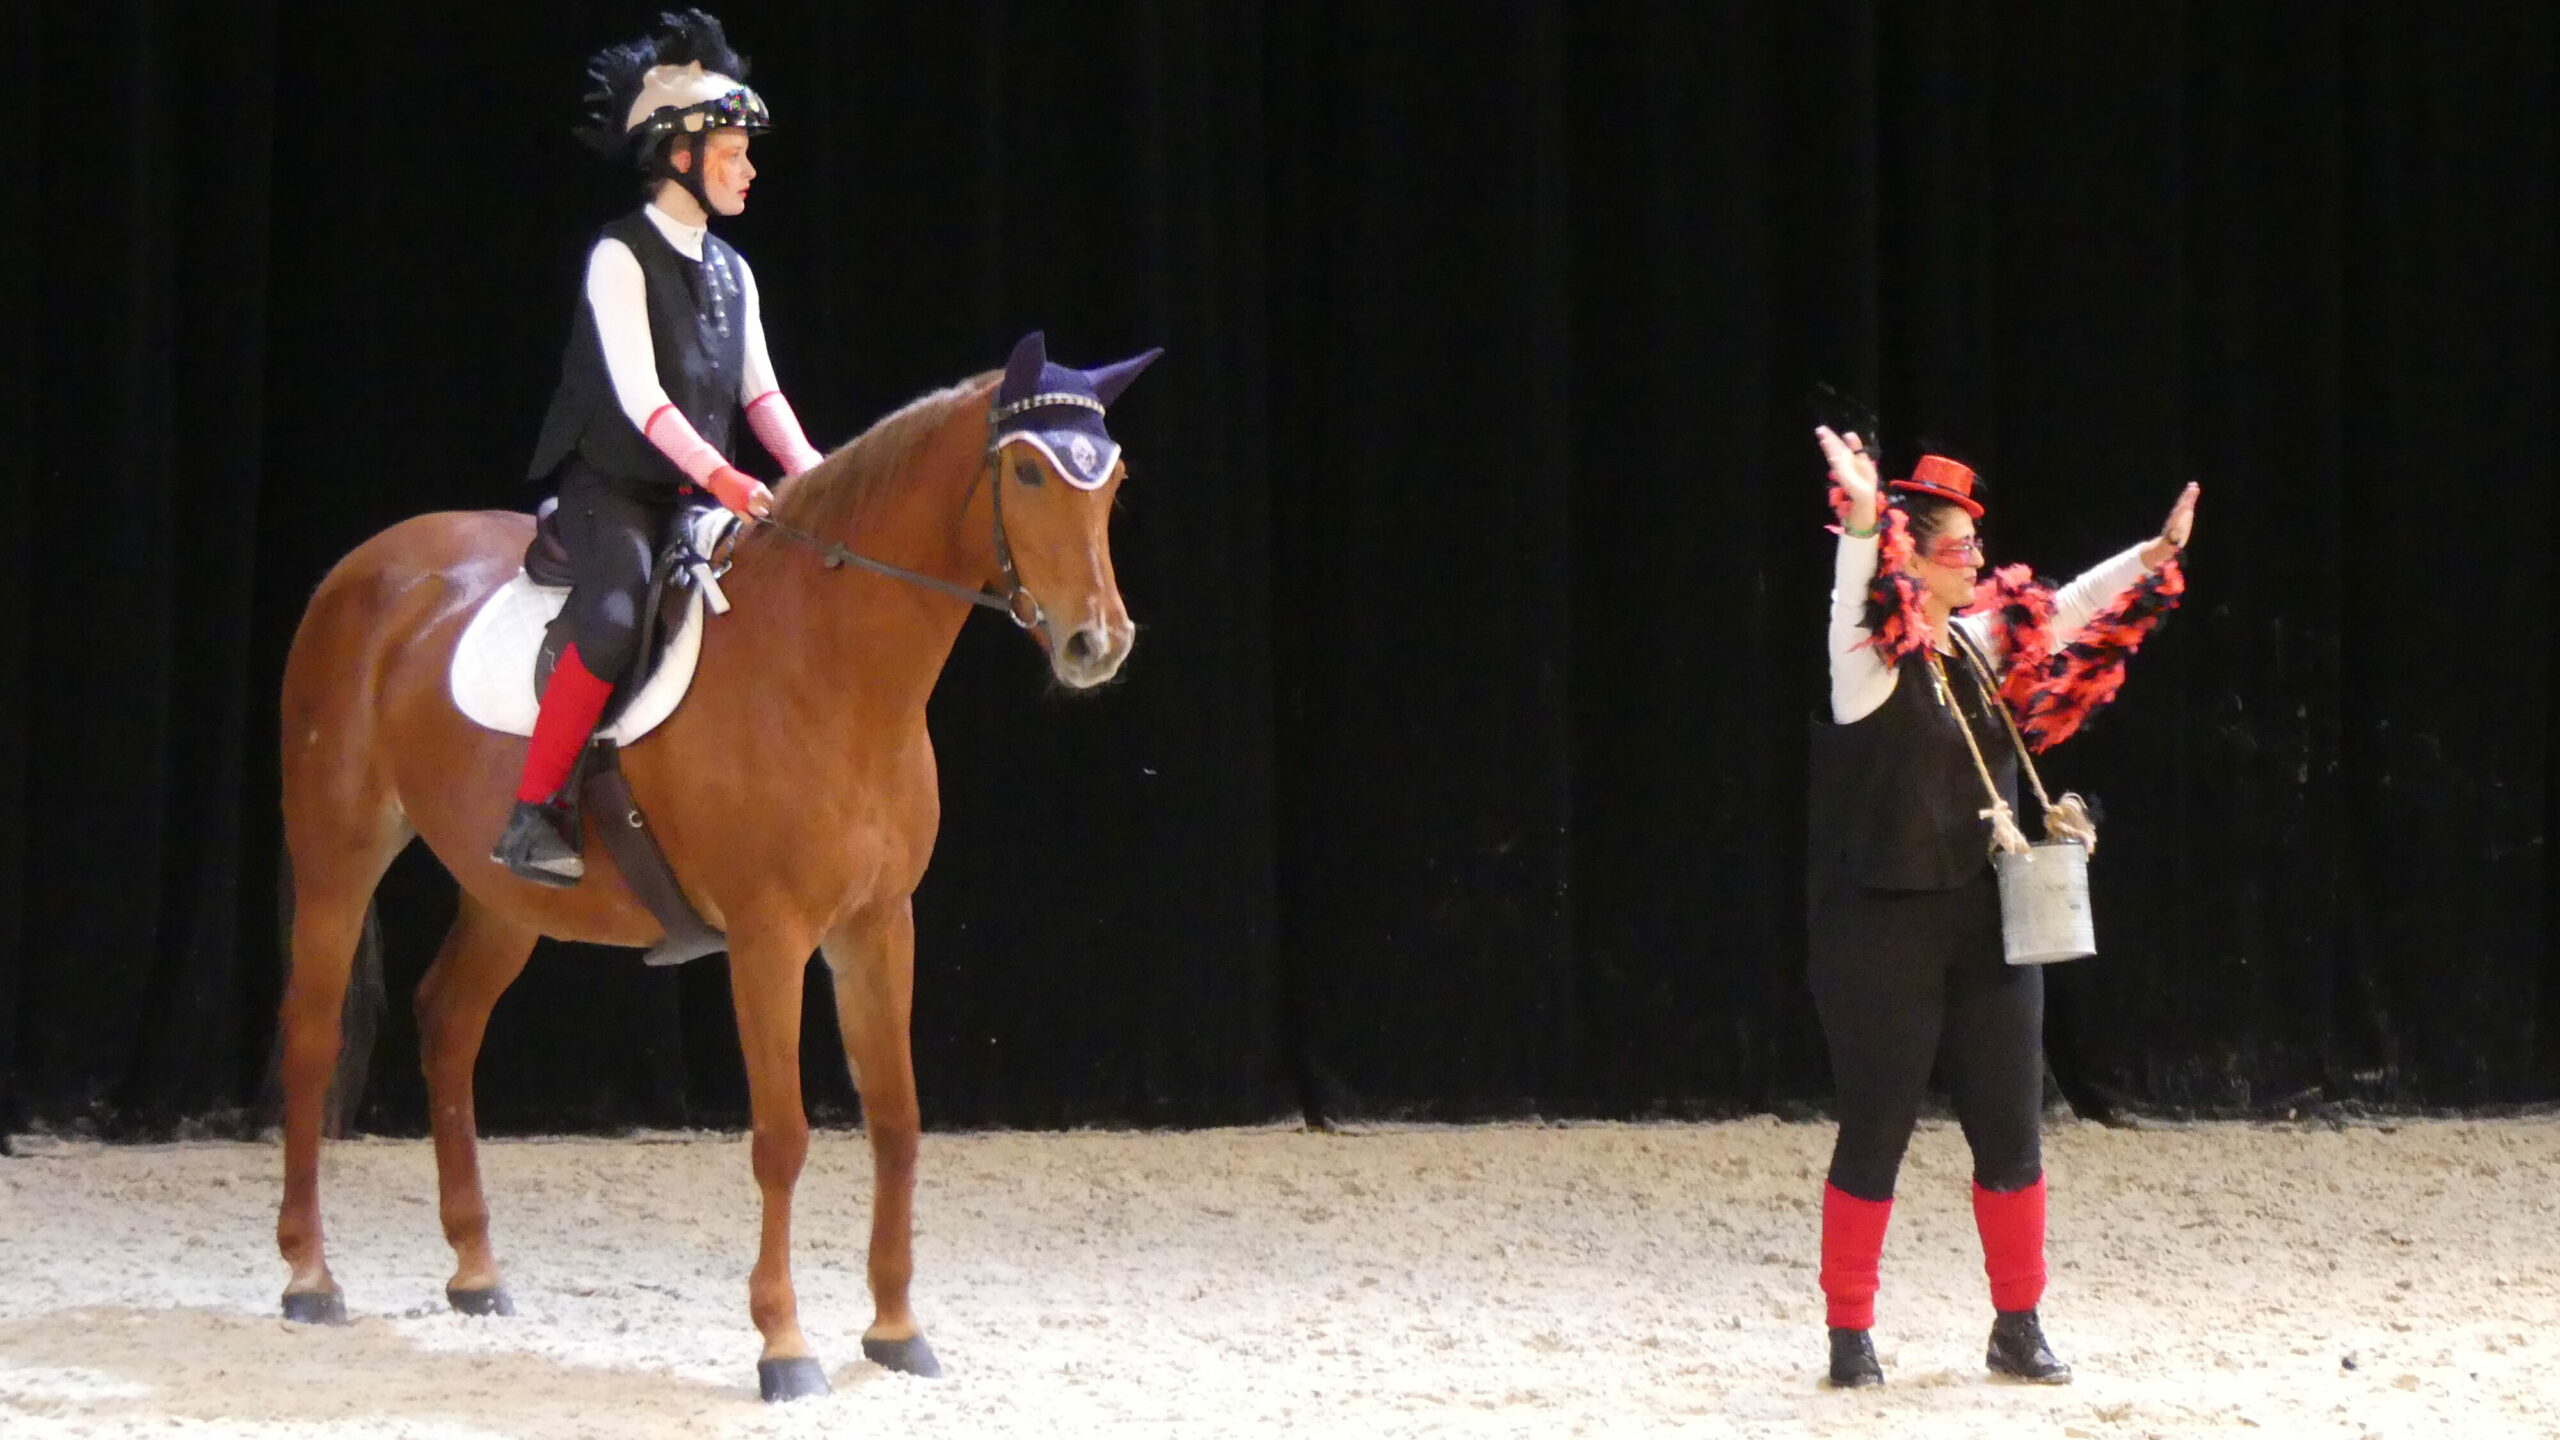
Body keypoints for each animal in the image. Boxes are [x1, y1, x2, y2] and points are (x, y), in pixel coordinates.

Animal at [275, 356, 1136, 1393]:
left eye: (1114, 483)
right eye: (1029, 473)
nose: (1098, 643)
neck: (829, 666)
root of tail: (364, 568)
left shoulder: (879, 927)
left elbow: (895, 1120)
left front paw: (895, 1331)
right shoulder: (768, 941)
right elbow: (782, 1138)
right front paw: (784, 1345)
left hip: (506, 897)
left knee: (448, 1021)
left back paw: (476, 1271)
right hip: (339, 855)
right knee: (312, 1039)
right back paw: (309, 1279)